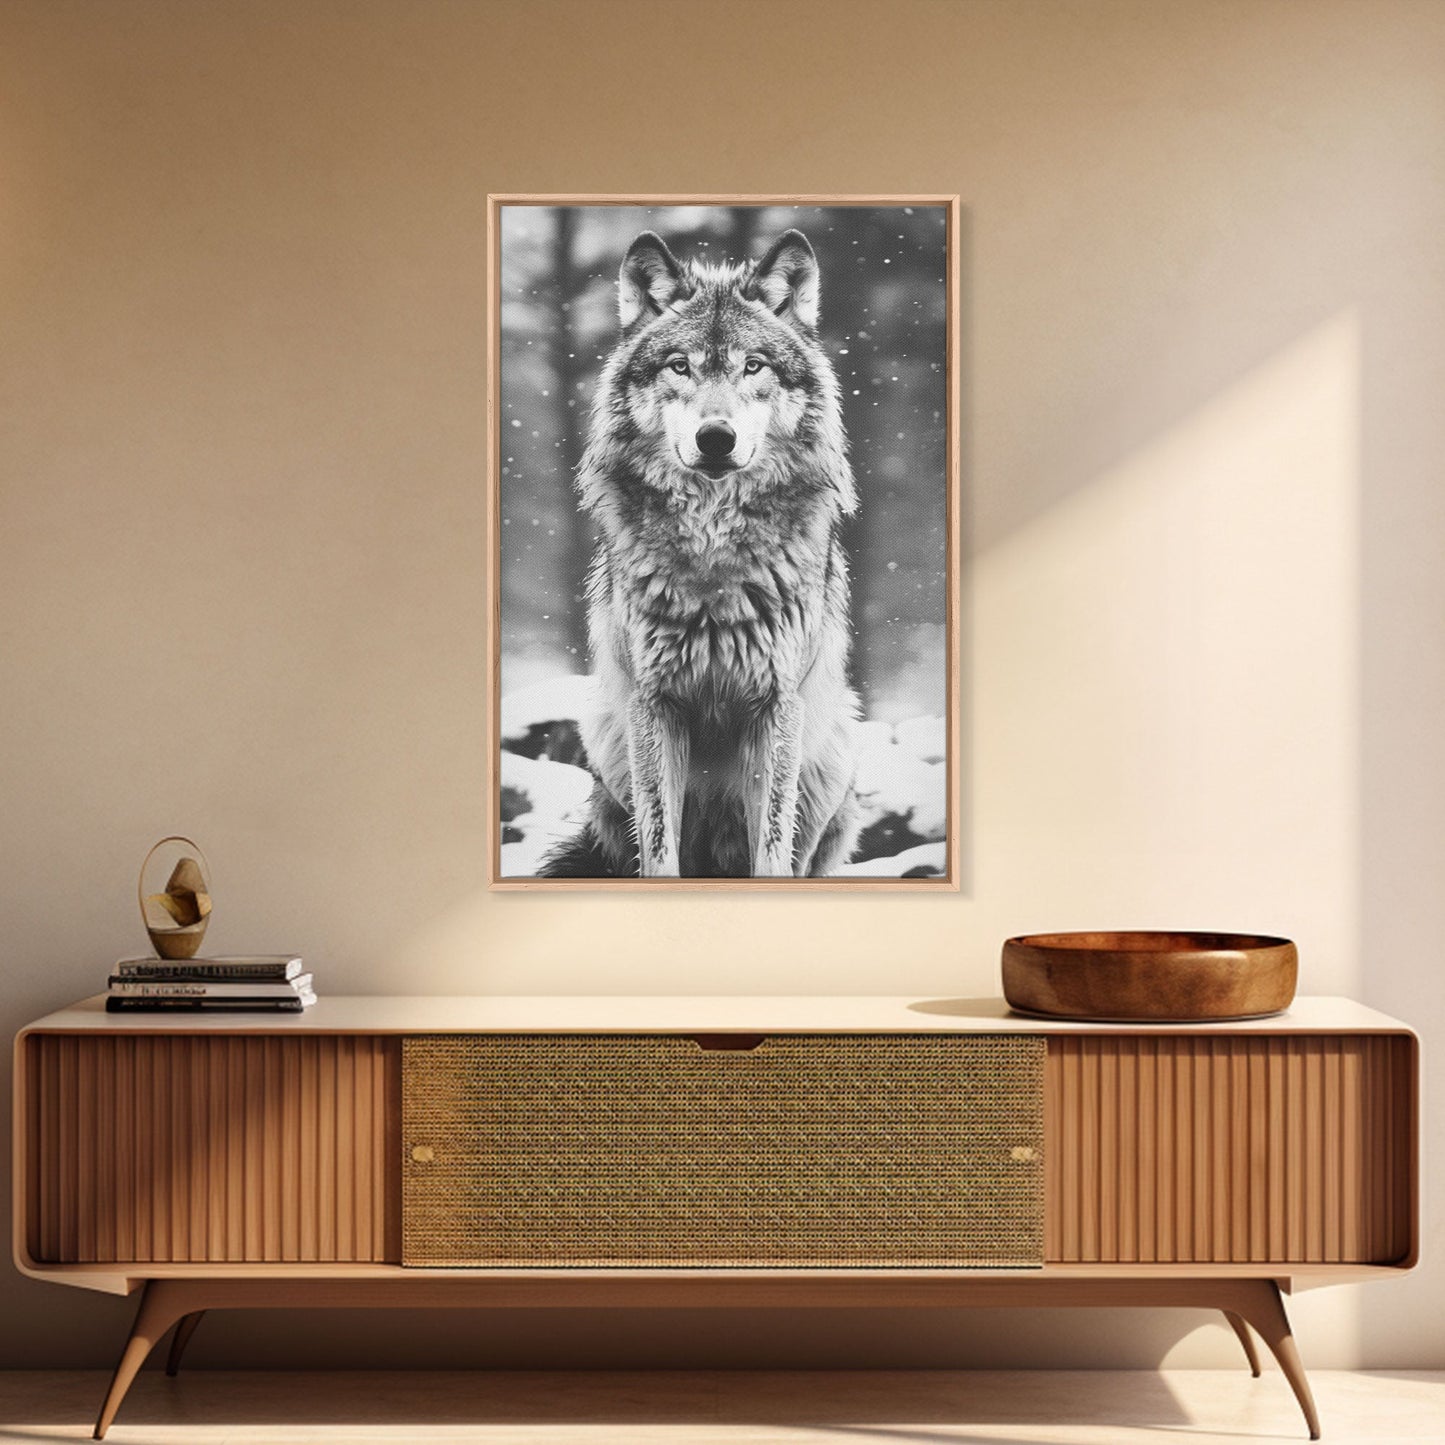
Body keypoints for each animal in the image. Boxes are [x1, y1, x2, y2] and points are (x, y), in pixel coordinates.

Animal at [540, 227, 863, 878]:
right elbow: (659, 848)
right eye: (680, 366)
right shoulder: (654, 704)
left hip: (835, 746)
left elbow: (772, 848)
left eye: (753, 366)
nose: (716, 438)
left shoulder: (775, 705)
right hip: (607, 733)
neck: (714, 549)